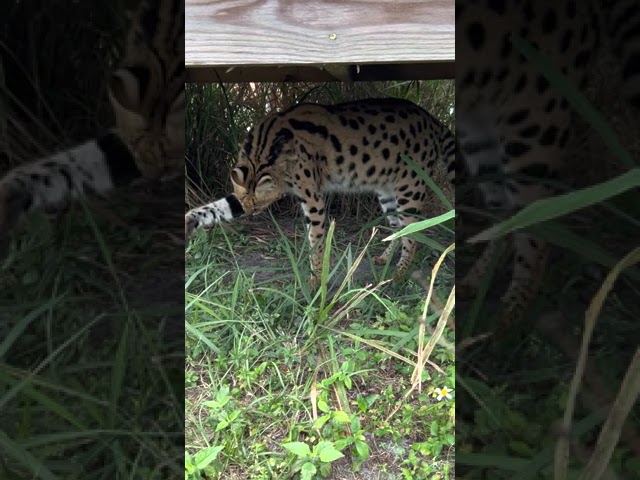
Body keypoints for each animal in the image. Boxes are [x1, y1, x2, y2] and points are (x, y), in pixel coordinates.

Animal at [185, 98, 456, 284]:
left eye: (260, 205)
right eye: (247, 205)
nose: (251, 214)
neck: (266, 150)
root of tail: (434, 121)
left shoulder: (312, 197)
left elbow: (315, 240)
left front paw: (316, 279)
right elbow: (215, 208)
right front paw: (190, 220)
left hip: (410, 189)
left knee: (414, 235)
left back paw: (398, 276)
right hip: (388, 193)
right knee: (399, 228)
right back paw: (386, 259)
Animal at [458, 0, 636, 322]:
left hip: (535, 119)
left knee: (537, 227)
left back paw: (507, 319)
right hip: (480, 133)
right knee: (504, 215)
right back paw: (477, 283)